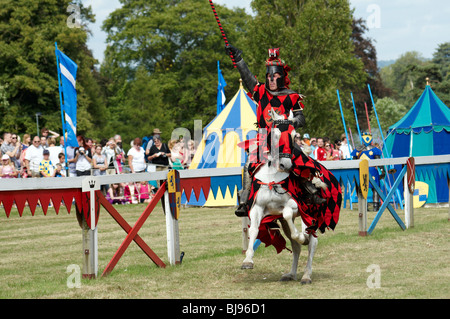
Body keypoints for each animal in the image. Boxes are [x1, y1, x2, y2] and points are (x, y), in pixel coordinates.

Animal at [243, 110, 316, 284]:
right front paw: (248, 260)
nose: (286, 165)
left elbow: (288, 213)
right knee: (296, 247)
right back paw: (291, 274)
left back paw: (306, 275)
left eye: (294, 135)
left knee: (312, 244)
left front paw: (302, 237)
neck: (272, 176)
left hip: (309, 215)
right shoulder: (257, 208)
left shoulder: (295, 206)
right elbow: (254, 229)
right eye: (275, 135)